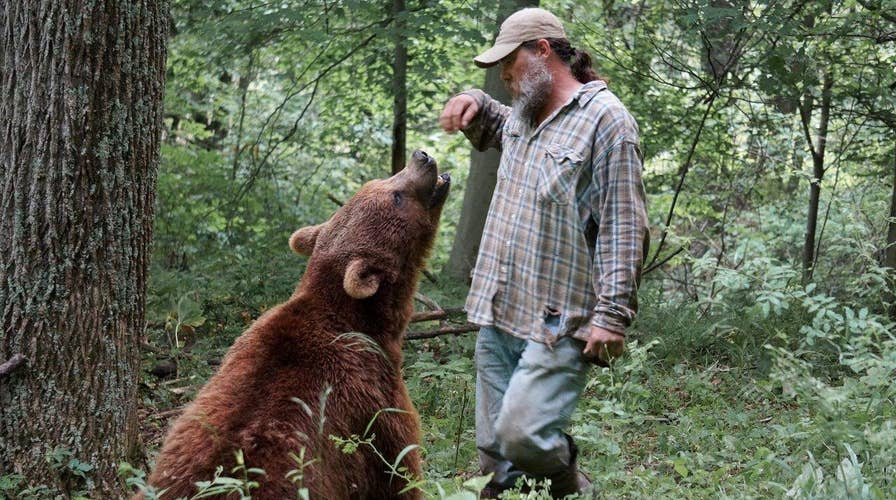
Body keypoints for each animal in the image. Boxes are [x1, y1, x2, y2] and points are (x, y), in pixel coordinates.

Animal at [141, 149, 450, 499]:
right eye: (396, 195)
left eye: (379, 181)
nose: (421, 157)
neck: (369, 323)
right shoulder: (375, 405)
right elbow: (398, 471)